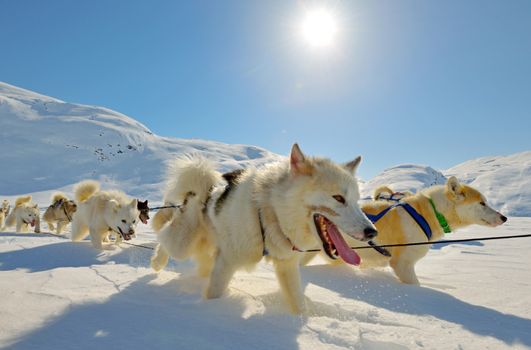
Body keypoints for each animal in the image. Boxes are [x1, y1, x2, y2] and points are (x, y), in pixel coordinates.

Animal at [150, 144, 378, 314]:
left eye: (356, 201)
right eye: (338, 198)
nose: (372, 232)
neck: (269, 213)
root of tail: (203, 187)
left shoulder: (287, 266)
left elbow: (299, 304)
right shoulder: (226, 263)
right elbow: (214, 293)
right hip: (182, 245)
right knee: (163, 236)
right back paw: (157, 261)